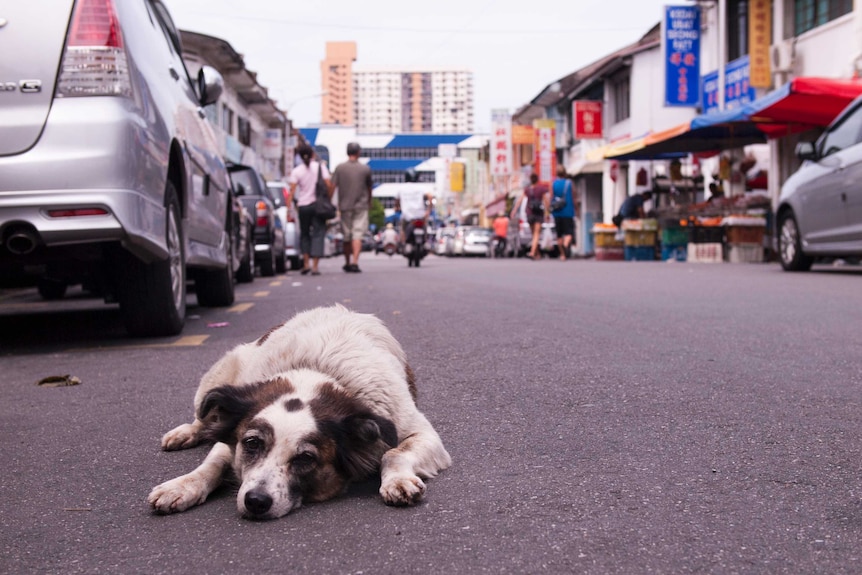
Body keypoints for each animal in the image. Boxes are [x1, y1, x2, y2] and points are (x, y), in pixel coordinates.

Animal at [148, 306, 452, 520]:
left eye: (306, 458)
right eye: (252, 444)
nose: (255, 501)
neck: (317, 373)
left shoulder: (418, 432)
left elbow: (394, 453)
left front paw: (397, 479)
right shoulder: (232, 434)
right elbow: (212, 463)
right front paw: (182, 485)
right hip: (217, 378)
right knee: (203, 416)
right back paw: (186, 432)